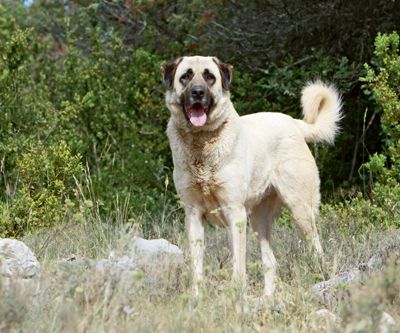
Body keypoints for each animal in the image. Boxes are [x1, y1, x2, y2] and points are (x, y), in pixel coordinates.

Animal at [161, 55, 342, 296]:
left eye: (209, 77)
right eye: (186, 76)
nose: (198, 92)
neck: (202, 144)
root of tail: (294, 123)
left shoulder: (234, 213)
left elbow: (238, 266)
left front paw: (237, 297)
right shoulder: (193, 215)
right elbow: (197, 267)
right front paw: (197, 298)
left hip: (300, 210)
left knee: (317, 250)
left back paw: (322, 281)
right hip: (259, 220)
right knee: (271, 261)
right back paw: (267, 299)